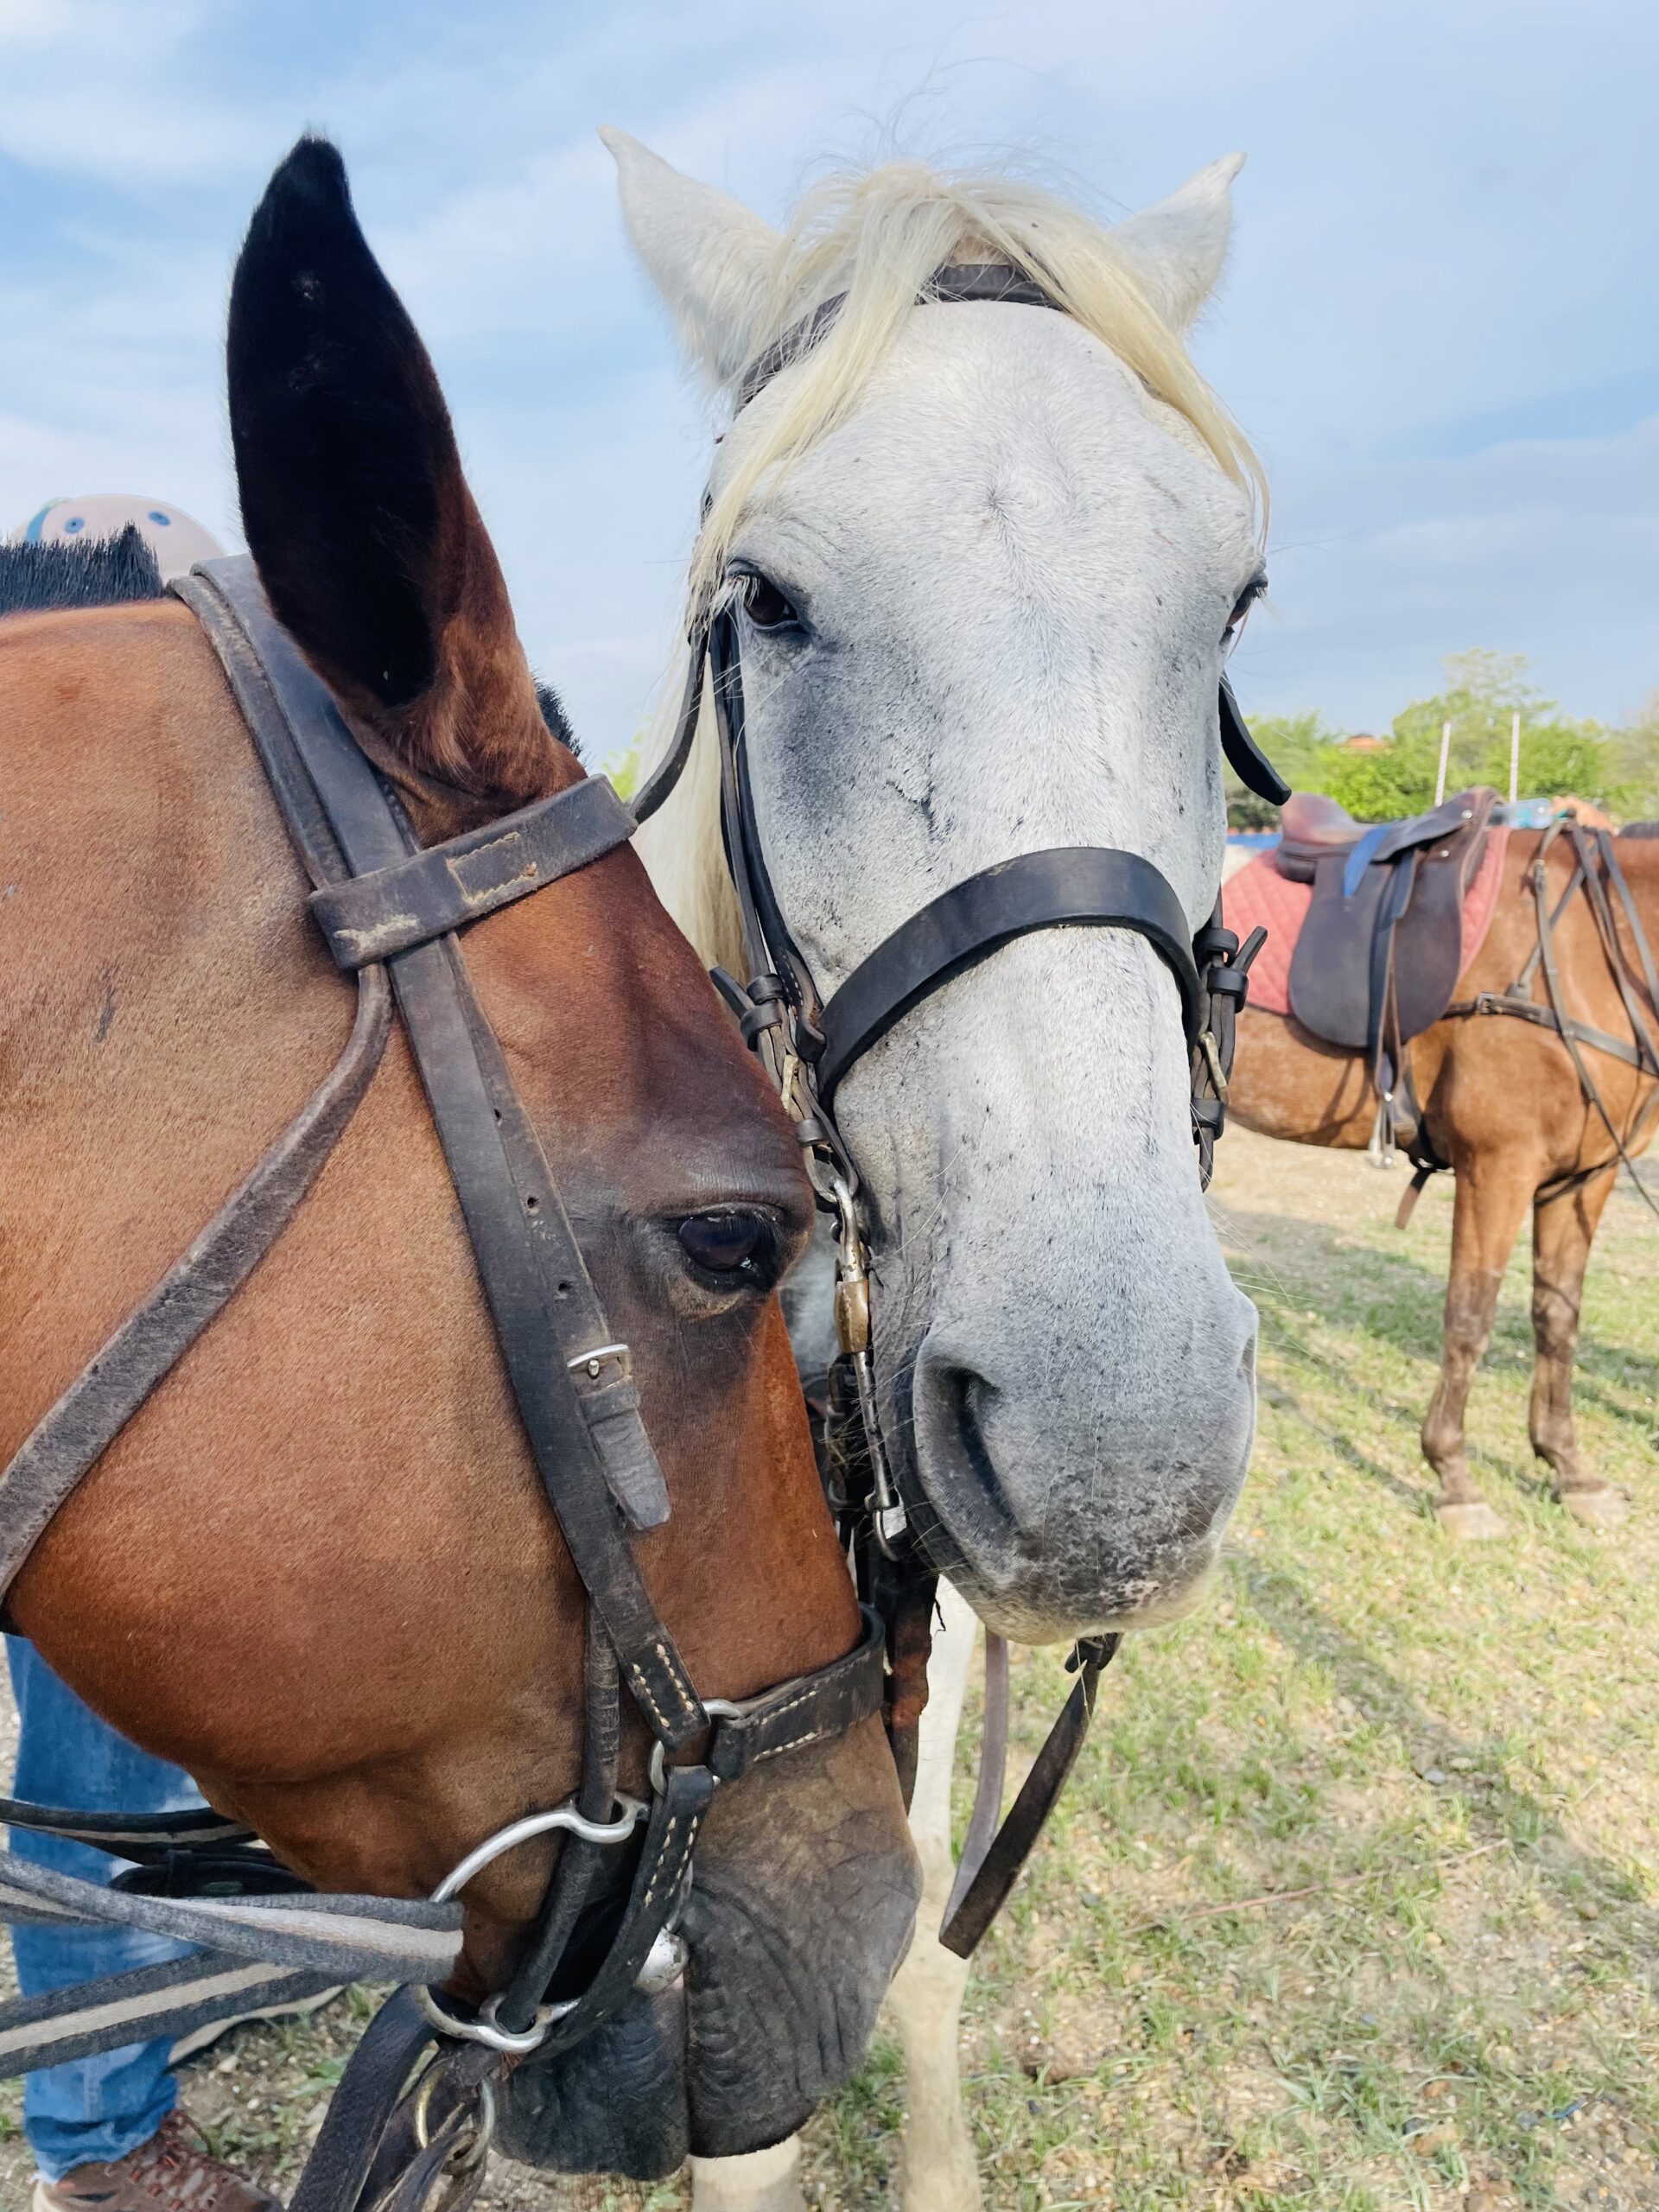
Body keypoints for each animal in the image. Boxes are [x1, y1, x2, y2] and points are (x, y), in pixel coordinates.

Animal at [1225, 825, 1659, 1539]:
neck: (1589, 951)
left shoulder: (1582, 1180)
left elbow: (1557, 1317)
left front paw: (1568, 1467)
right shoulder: (1499, 1166)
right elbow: (1470, 1317)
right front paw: (1454, 1477)